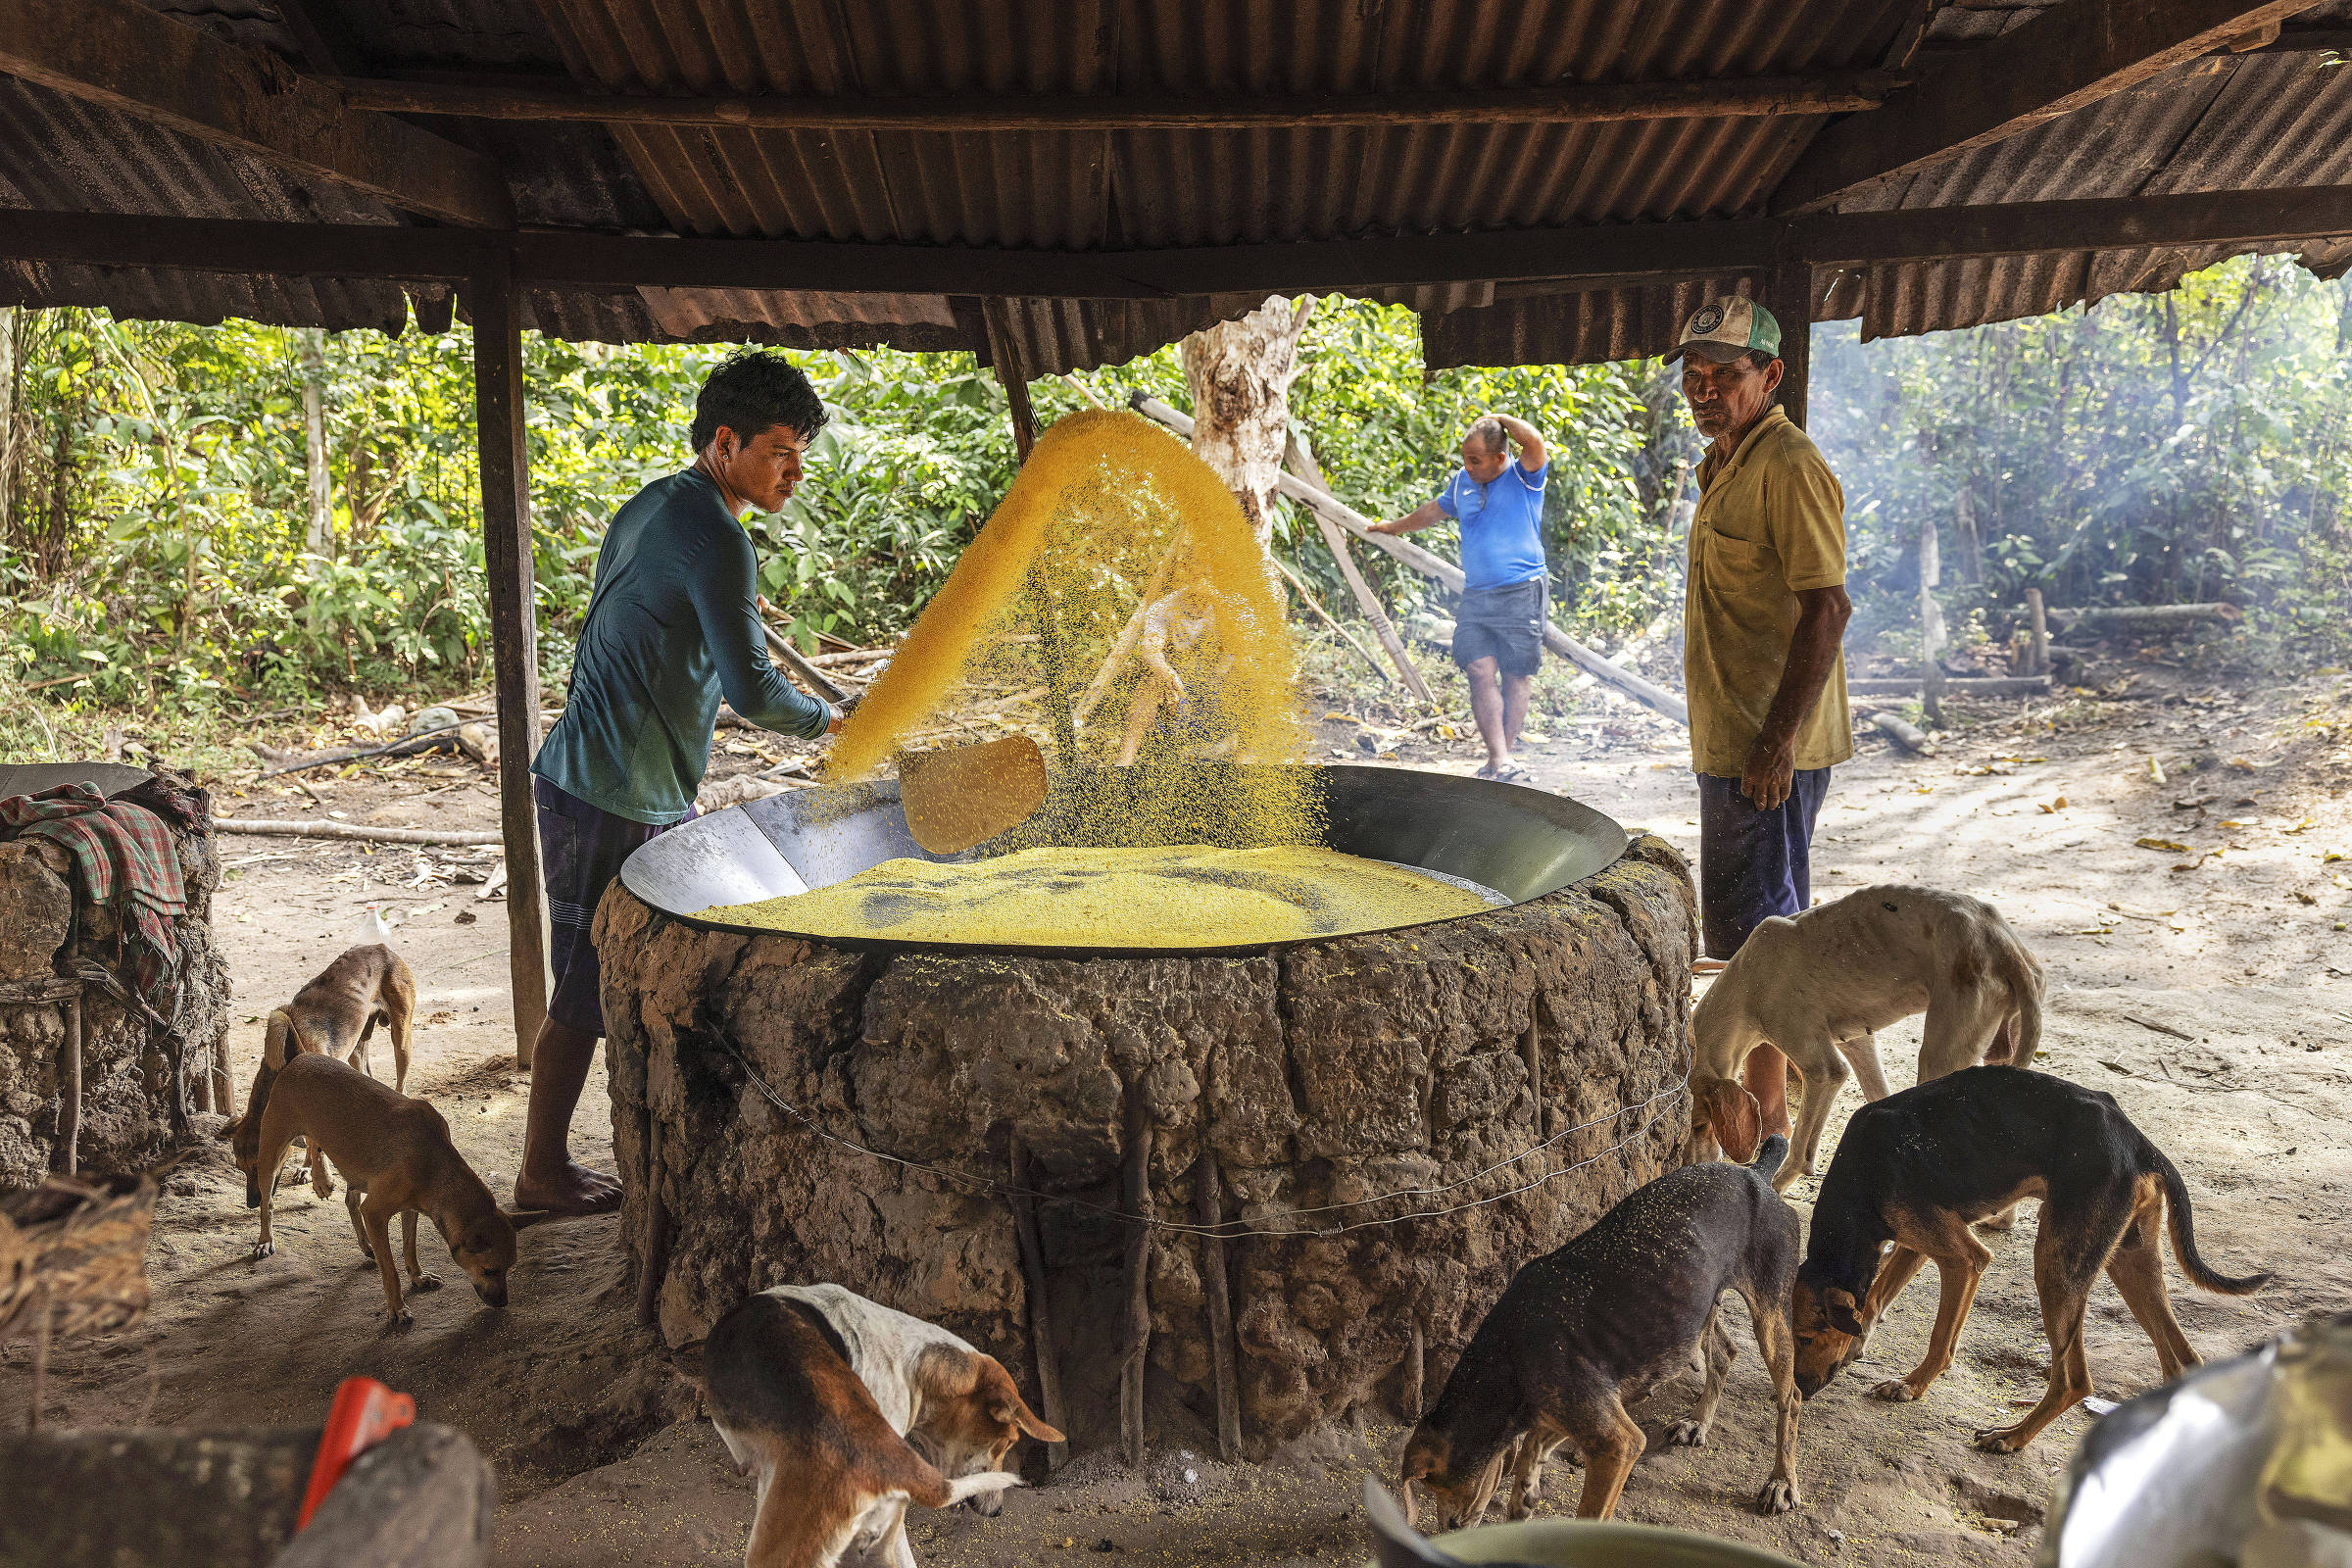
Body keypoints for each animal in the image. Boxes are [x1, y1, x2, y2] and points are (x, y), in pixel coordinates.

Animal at [241, 1048, 548, 1335]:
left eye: (510, 1267)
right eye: (489, 1270)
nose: (503, 1303)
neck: (435, 1163)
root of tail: (301, 1058)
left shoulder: (411, 1206)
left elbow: (409, 1248)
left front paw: (418, 1277)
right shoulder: (376, 1213)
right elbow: (389, 1270)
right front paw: (398, 1309)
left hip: (355, 1166)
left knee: (348, 1197)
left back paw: (362, 1240)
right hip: (272, 1154)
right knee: (267, 1203)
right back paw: (265, 1240)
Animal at [1392, 1133, 1796, 1523]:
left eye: (1434, 1489)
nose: (1448, 1528)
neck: (1507, 1358)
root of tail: (1755, 1173)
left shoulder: (1619, 1444)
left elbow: (1590, 1511)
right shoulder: (1559, 1411)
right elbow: (1530, 1456)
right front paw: (1522, 1498)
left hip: (1771, 1316)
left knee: (1790, 1398)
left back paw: (1782, 1482)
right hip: (1700, 1306)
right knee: (1724, 1353)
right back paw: (1698, 1422)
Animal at [1693, 883, 2041, 1189]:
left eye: (1699, 1125)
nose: (1693, 1169)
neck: (1746, 980)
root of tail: (2005, 945)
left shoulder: (1824, 1070)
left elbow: (1800, 1151)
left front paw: (1774, 1189)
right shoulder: (1858, 1043)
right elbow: (1879, 1096)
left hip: (1938, 1059)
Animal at [1788, 1067, 2267, 1457]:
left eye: (1806, 1338)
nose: (1800, 1391)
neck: (1858, 1178)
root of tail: (2137, 1142)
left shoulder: (1965, 1259)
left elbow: (1940, 1340)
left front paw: (1912, 1385)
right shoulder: (1917, 1242)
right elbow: (1872, 1299)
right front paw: (1864, 1345)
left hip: (2055, 1267)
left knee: (2075, 1381)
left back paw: (2012, 1437)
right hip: (2129, 1262)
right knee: (2182, 1362)